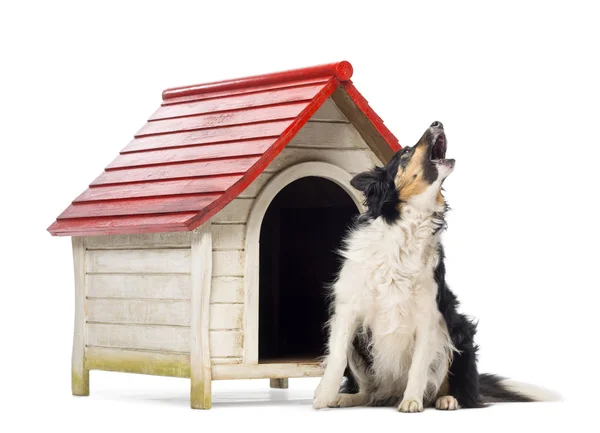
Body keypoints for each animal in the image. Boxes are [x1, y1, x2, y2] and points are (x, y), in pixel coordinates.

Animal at [312, 120, 560, 410]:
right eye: (406, 152)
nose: (437, 122)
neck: (407, 228)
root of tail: (390, 391)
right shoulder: (348, 308)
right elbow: (337, 356)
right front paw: (324, 396)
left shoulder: (430, 316)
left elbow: (418, 366)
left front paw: (411, 401)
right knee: (368, 391)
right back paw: (346, 398)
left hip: (459, 329)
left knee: (458, 390)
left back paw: (447, 399)